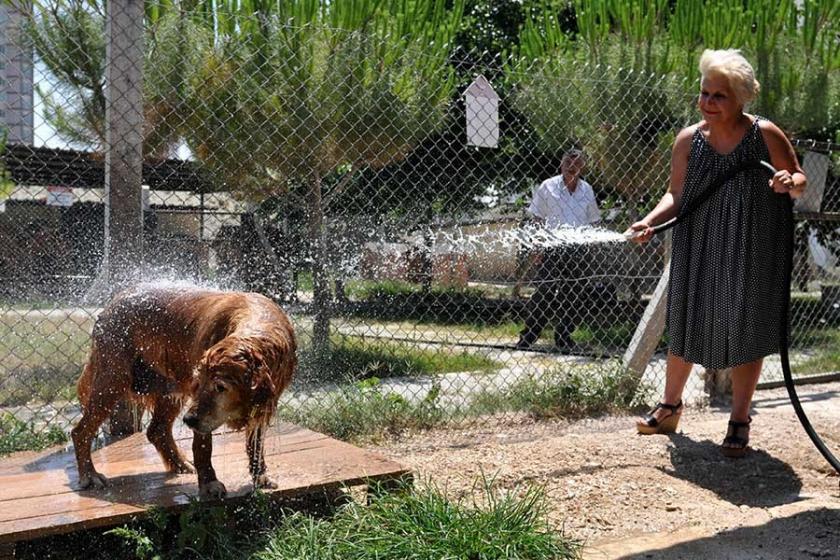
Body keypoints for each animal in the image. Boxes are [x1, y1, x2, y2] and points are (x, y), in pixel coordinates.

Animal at [71, 284, 298, 498]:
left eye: (220, 387)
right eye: (197, 383)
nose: (189, 420)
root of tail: (113, 302)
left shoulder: (263, 406)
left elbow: (256, 445)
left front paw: (260, 476)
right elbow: (203, 448)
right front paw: (209, 483)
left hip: (169, 389)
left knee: (157, 430)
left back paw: (181, 464)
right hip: (112, 382)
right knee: (80, 431)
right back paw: (90, 475)